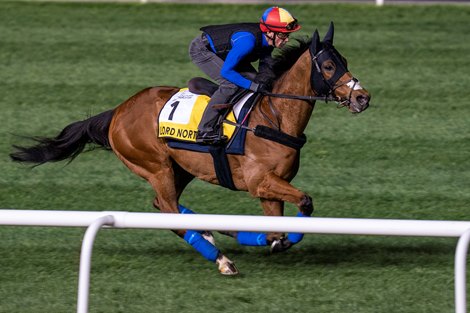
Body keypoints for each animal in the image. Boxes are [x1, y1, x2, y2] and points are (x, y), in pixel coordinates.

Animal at [11, 23, 370, 274]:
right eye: (328, 66)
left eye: (345, 60)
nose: (362, 97)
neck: (275, 116)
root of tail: (118, 111)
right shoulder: (260, 182)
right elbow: (304, 205)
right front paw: (265, 240)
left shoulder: (270, 189)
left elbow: (277, 230)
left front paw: (262, 238)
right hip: (155, 166)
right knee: (170, 213)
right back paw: (221, 258)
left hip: (180, 168)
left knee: (163, 205)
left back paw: (212, 232)